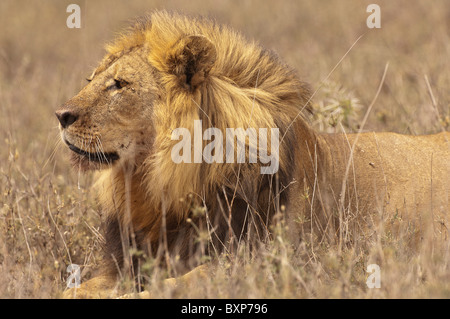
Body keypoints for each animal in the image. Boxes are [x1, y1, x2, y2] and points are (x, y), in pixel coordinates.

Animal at [57, 10, 450, 300]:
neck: (152, 182)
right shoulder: (129, 260)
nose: (60, 115)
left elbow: (171, 286)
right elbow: (75, 289)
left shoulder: (254, 259)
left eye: (119, 85)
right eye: (92, 80)